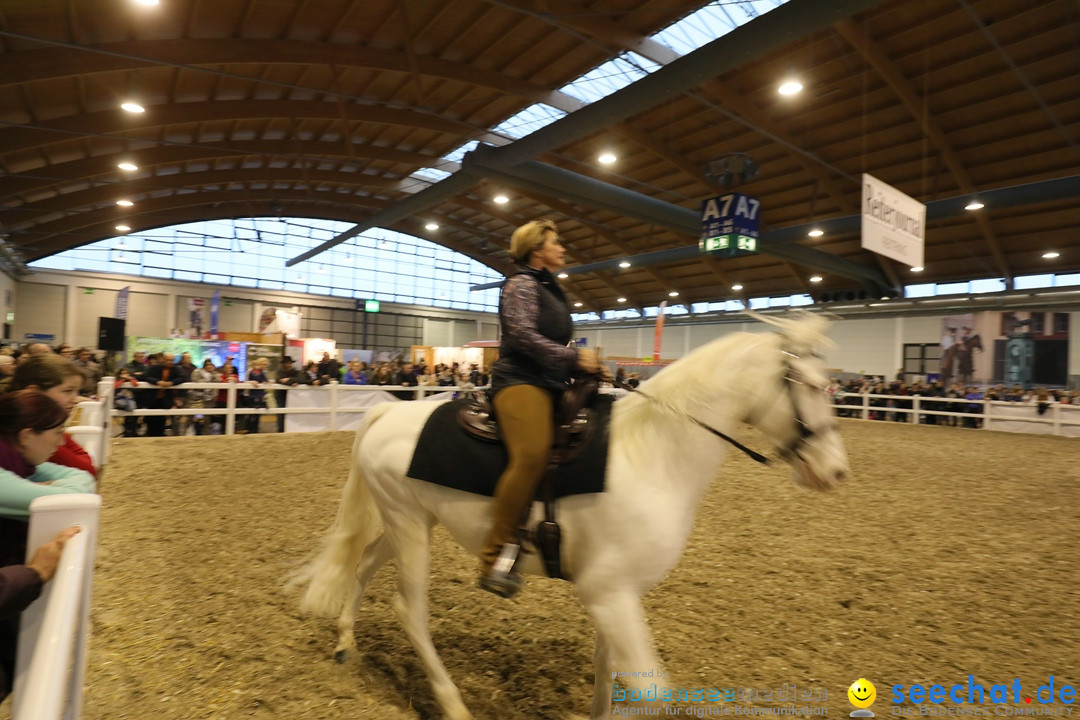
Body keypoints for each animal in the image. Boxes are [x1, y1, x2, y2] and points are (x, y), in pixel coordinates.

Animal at [293, 313, 842, 720]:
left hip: (410, 521)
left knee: (364, 563)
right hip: (408, 526)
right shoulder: (608, 592)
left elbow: (607, 671)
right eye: (815, 386)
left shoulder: (617, 596)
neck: (651, 453)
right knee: (411, 610)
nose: (836, 470)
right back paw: (453, 704)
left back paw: (346, 644)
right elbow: (652, 695)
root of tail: (389, 412)